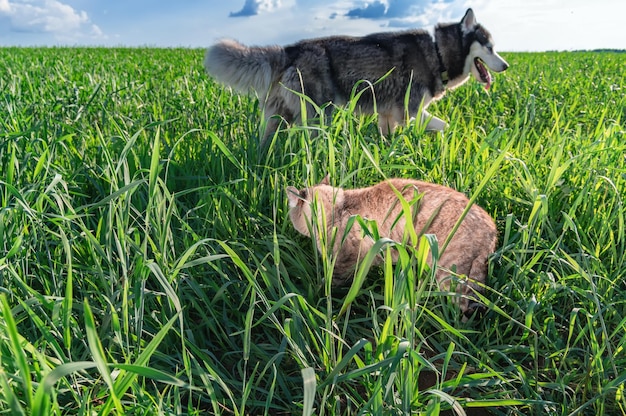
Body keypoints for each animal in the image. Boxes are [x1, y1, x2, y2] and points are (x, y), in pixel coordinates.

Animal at [205, 8, 508, 138]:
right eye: (490, 48)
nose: (505, 66)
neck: (438, 52)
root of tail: (290, 49)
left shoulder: (388, 115)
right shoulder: (409, 112)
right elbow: (444, 125)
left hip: (280, 115)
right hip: (319, 113)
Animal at [286, 176, 494, 318]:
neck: (338, 210)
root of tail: (492, 230)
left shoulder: (345, 262)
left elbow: (328, 285)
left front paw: (314, 294)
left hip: (447, 276)